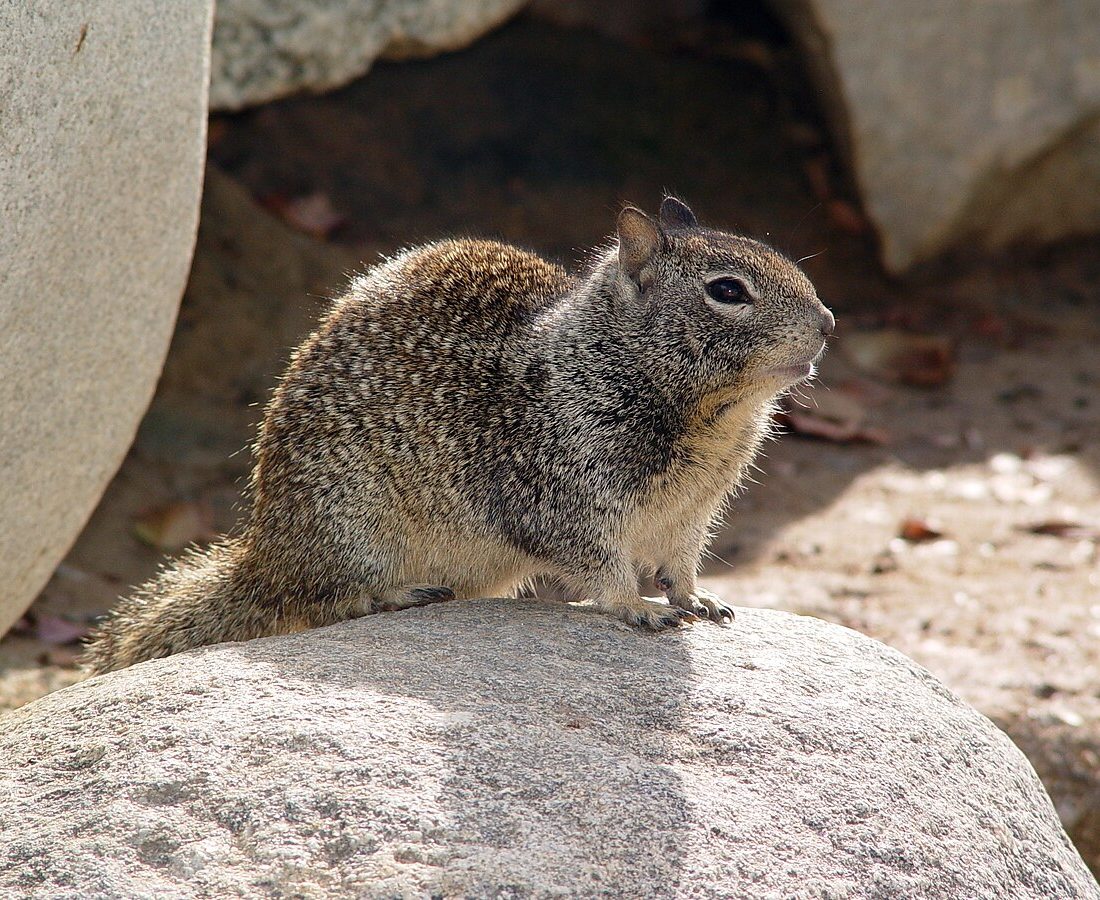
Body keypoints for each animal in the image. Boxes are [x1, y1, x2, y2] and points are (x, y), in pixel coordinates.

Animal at [83, 197, 834, 674]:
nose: (828, 323)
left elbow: (679, 565)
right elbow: (602, 566)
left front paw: (694, 600)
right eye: (728, 291)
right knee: (325, 602)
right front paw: (635, 608)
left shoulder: (691, 514)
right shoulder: (561, 496)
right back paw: (398, 595)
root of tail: (263, 556)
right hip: (349, 528)